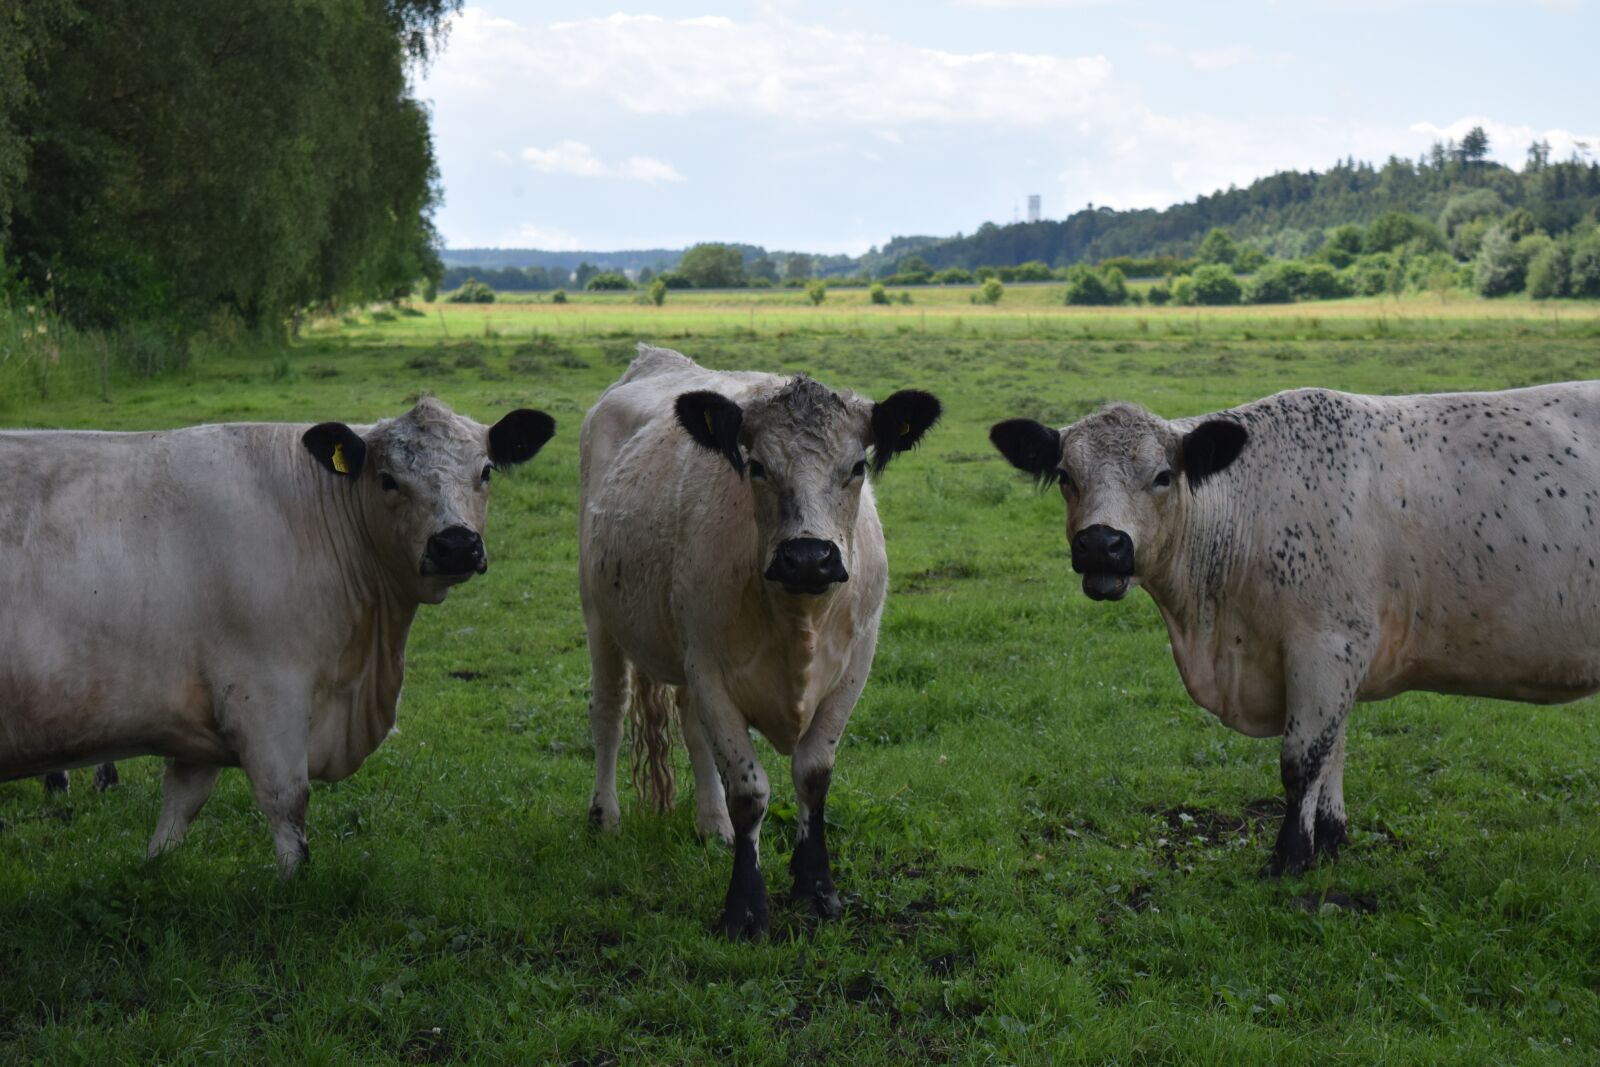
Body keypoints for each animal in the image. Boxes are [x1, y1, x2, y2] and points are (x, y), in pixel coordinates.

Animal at [1, 397, 553, 874]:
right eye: (388, 479)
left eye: (485, 471)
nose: (456, 544)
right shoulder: (267, 695)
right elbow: (286, 803)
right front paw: (292, 892)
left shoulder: (200, 711)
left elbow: (180, 804)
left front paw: (152, 871)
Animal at [579, 344, 940, 938]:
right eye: (757, 466)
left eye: (857, 467)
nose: (808, 557)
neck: (798, 619)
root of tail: (654, 357)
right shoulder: (710, 670)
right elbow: (749, 791)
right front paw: (745, 908)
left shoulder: (853, 667)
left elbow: (812, 776)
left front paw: (815, 888)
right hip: (600, 618)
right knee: (609, 714)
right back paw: (604, 817)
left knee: (692, 731)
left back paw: (712, 825)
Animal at [991, 383, 1600, 877]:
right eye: (1066, 477)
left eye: (1162, 476)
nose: (1101, 544)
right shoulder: (1335, 661)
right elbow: (1335, 751)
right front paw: (1330, 842)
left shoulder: (1326, 646)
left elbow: (1302, 759)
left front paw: (1289, 859)